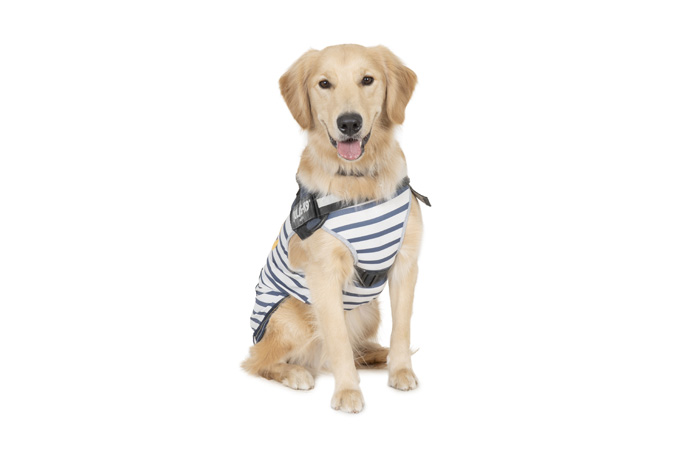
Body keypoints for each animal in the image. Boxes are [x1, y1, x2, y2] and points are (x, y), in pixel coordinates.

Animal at [242, 44, 429, 413]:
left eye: (367, 80)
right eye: (324, 83)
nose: (349, 122)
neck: (359, 179)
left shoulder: (405, 263)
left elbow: (402, 328)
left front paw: (401, 370)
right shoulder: (324, 275)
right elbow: (338, 339)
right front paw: (347, 392)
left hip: (368, 310)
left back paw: (380, 355)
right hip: (293, 317)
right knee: (258, 361)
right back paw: (296, 373)